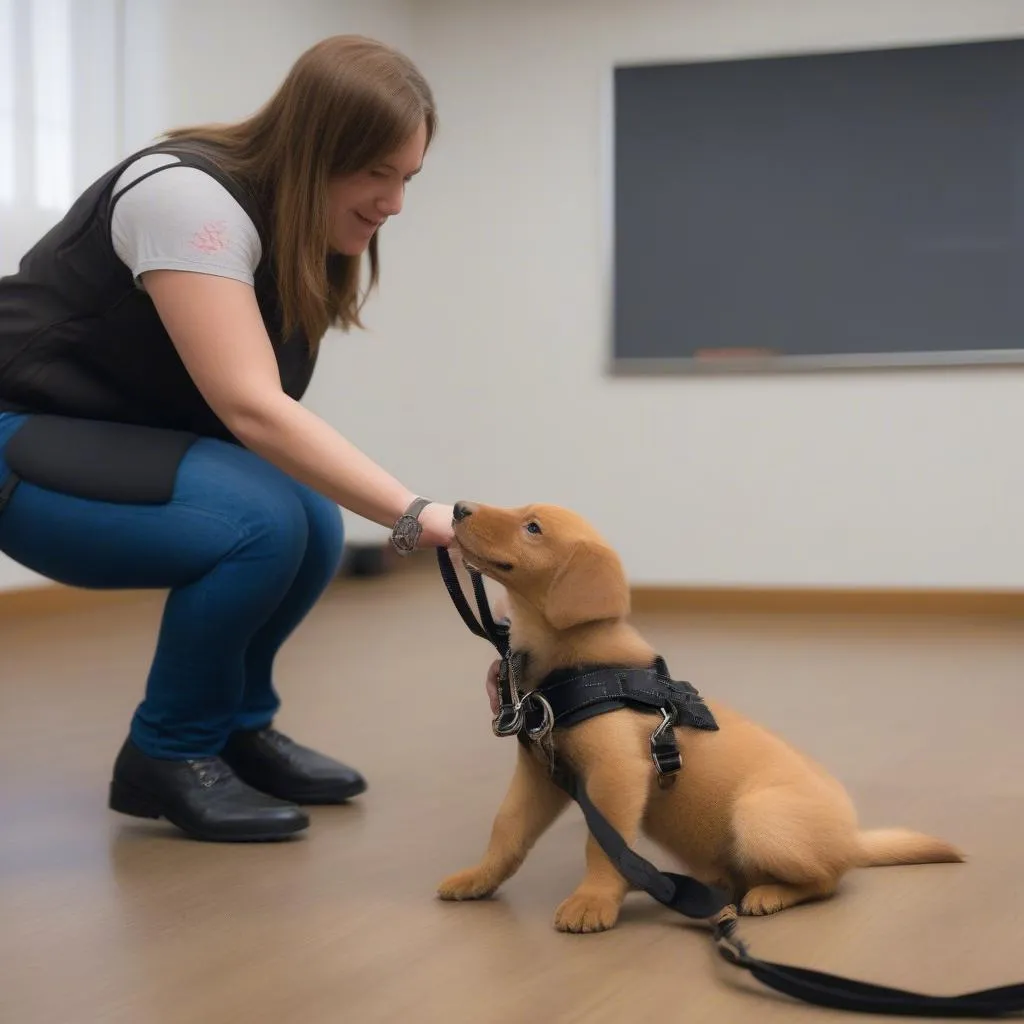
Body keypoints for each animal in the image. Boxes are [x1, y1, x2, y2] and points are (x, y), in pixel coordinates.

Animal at [436, 499, 962, 933]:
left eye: (533, 527)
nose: (458, 507)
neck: (577, 664)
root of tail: (853, 839)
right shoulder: (541, 774)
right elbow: (507, 829)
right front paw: (478, 878)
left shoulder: (615, 775)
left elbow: (602, 846)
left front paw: (593, 902)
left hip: (759, 815)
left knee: (828, 881)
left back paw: (768, 894)